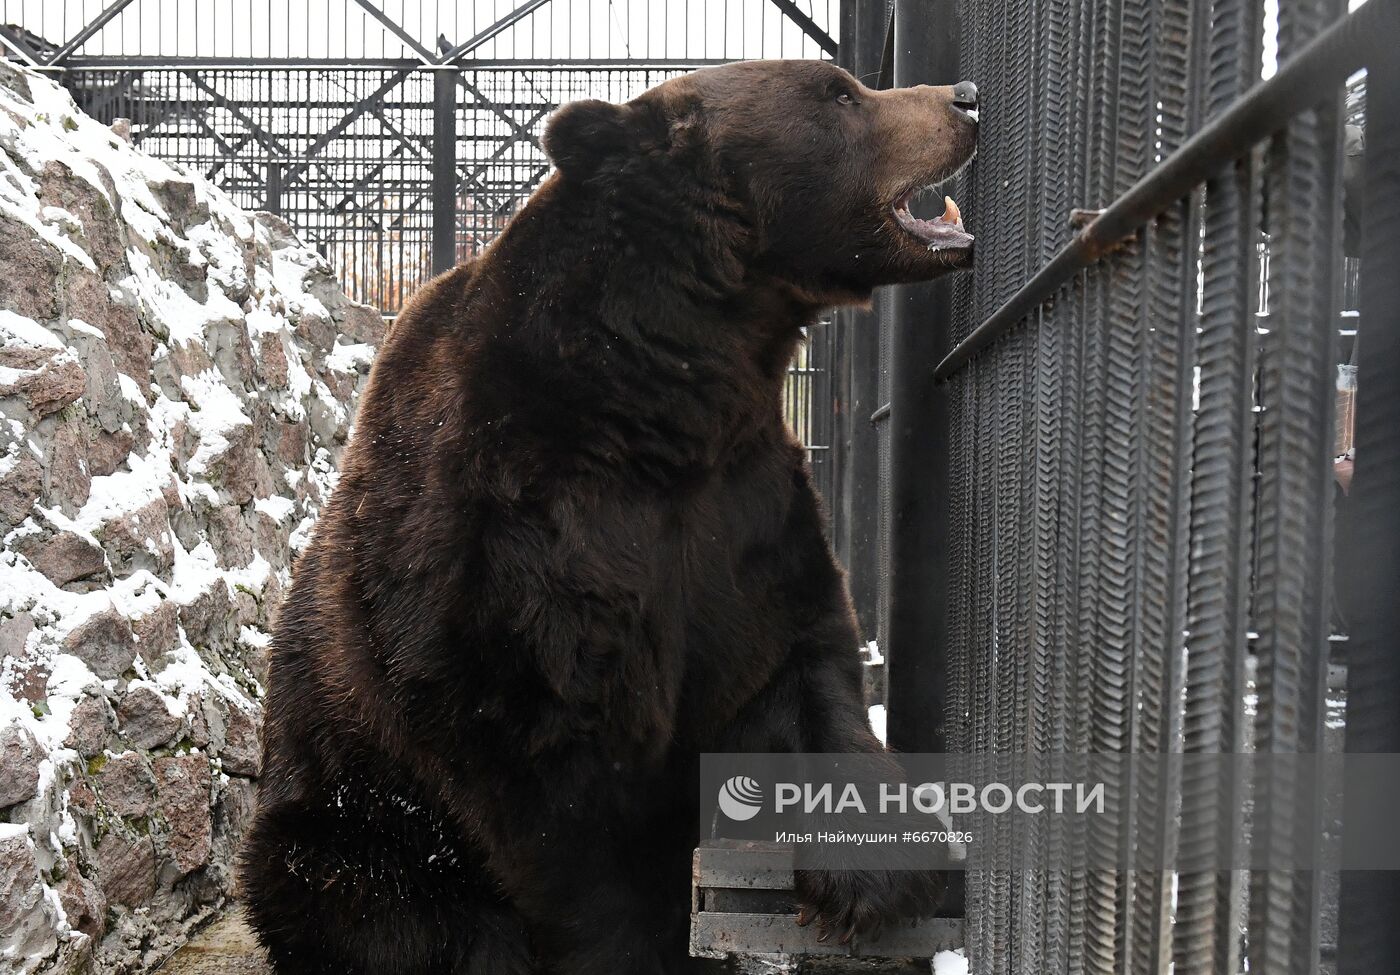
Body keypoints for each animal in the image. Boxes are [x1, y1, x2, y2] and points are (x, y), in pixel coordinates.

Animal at [240, 57, 980, 969]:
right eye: (840, 93)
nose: (965, 99)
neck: (668, 387)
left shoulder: (742, 504)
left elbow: (799, 655)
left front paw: (875, 878)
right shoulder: (506, 546)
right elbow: (560, 800)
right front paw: (648, 938)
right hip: (348, 817)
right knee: (389, 906)